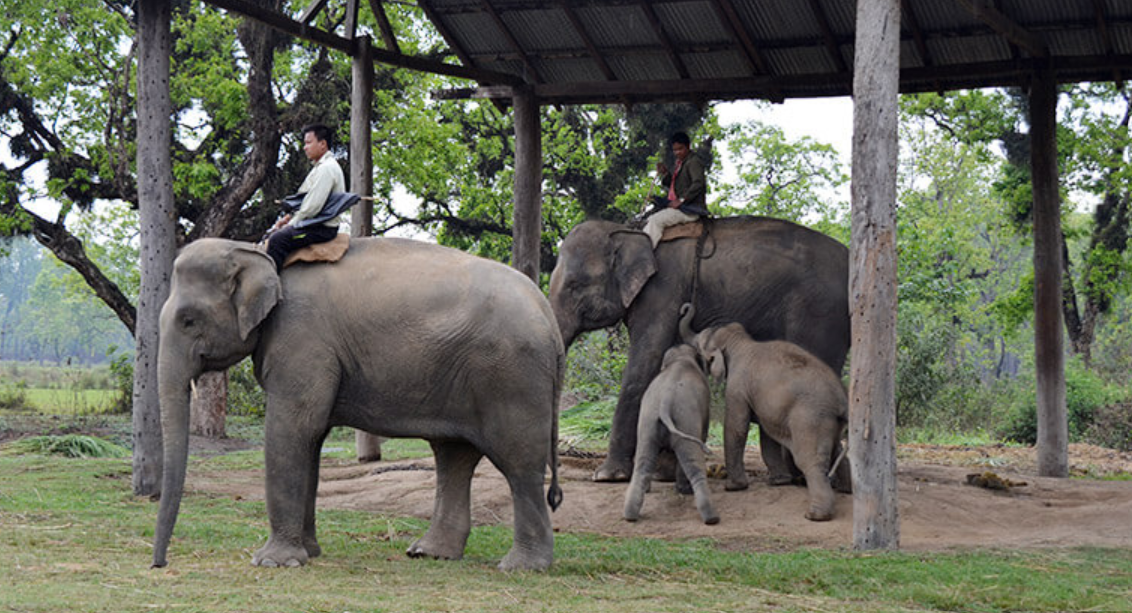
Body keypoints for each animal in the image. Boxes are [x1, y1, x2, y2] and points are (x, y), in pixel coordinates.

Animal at [151, 237, 564, 571]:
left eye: (188, 320)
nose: (159, 564)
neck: (261, 253)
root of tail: (548, 313)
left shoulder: (301, 340)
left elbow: (292, 430)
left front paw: (272, 562)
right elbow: (311, 439)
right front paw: (309, 553)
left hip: (511, 374)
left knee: (518, 464)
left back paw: (522, 567)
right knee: (454, 456)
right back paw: (428, 553)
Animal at [548, 216, 849, 482]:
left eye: (576, 285)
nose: (558, 466)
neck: (628, 229)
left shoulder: (662, 292)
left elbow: (646, 361)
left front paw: (609, 476)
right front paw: (663, 474)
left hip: (819, 312)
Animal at [623, 343, 718, 525]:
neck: (680, 359)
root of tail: (665, 404)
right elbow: (703, 433)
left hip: (647, 423)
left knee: (642, 464)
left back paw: (630, 515)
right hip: (685, 420)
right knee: (694, 463)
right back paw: (711, 517)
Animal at [680, 307, 851, 521]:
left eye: (699, 346)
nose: (685, 308)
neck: (741, 341)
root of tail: (842, 400)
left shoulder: (737, 385)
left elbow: (736, 426)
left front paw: (734, 487)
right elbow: (767, 432)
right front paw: (778, 482)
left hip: (810, 418)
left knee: (810, 460)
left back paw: (815, 515)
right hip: (829, 421)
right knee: (837, 449)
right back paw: (846, 490)